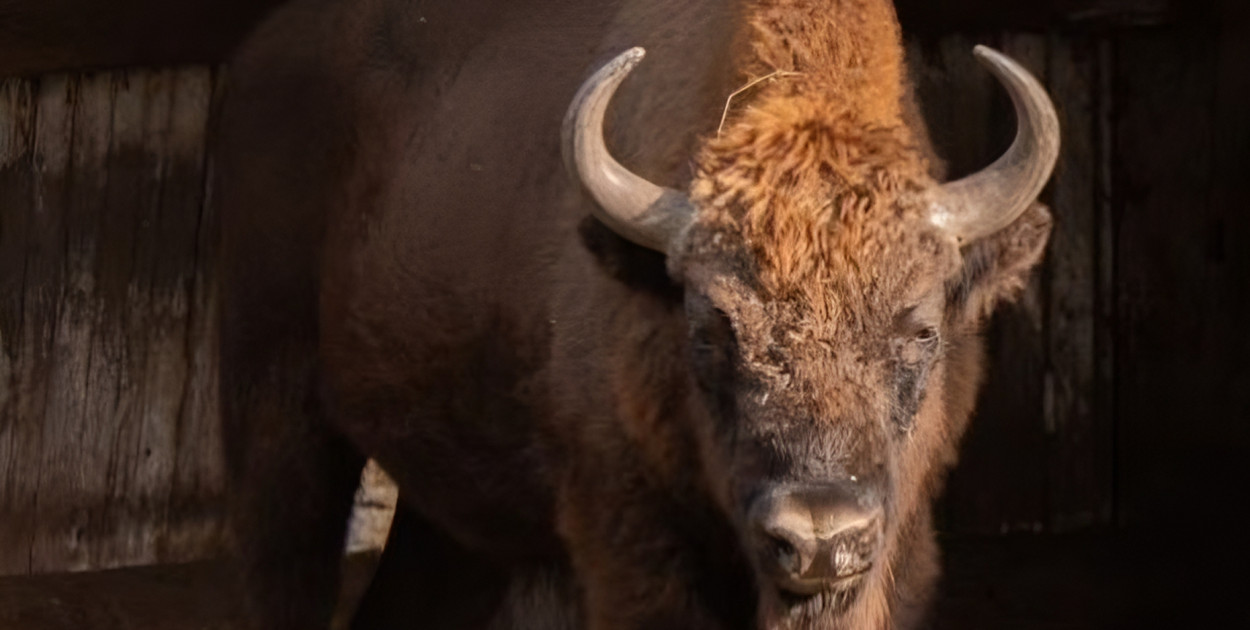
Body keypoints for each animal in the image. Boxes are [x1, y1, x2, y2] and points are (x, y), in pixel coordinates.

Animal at [215, 1, 1055, 630]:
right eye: (708, 331)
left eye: (921, 329)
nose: (819, 537)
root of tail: (263, 51)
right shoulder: (628, 541)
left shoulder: (900, 551)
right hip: (277, 422)